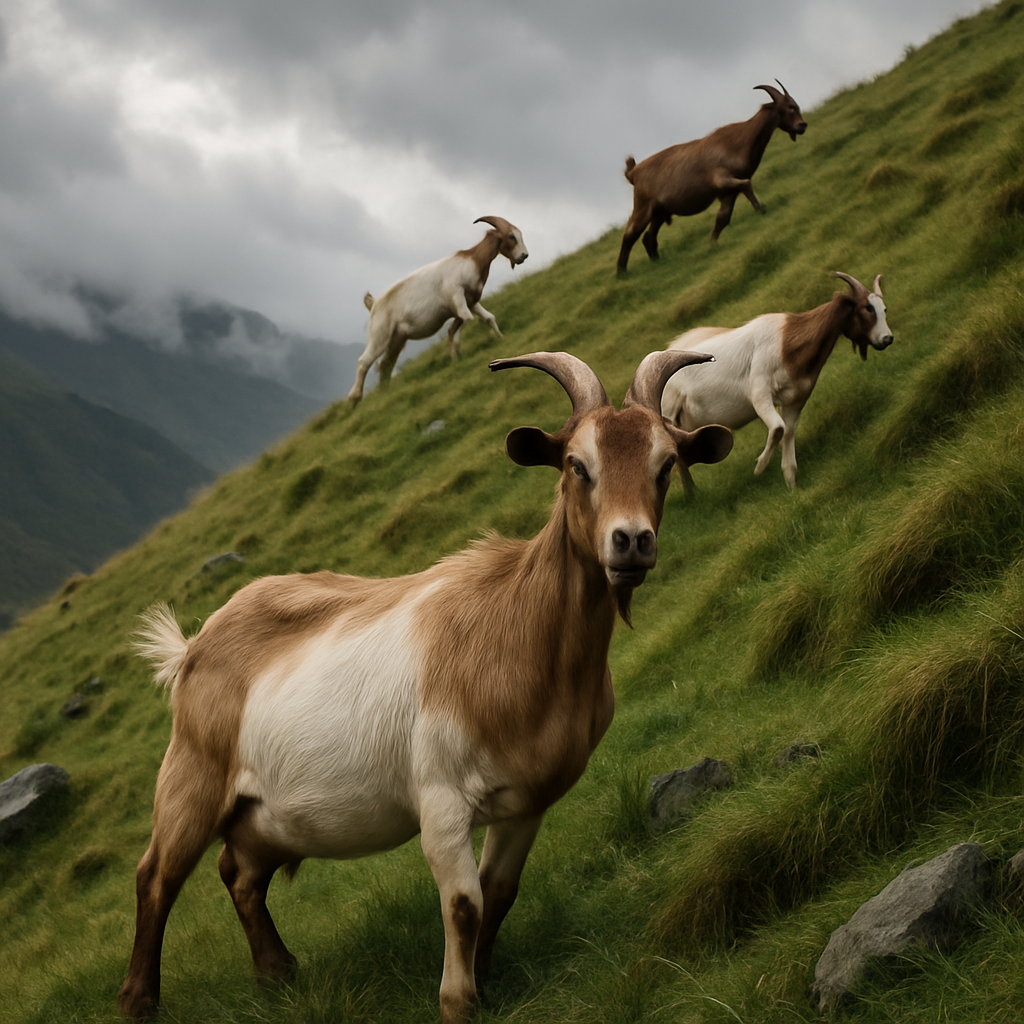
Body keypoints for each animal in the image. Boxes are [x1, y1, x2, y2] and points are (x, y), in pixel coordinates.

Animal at [119, 351, 733, 1024]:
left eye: (665, 464)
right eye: (577, 465)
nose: (631, 541)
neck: (519, 636)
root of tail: (193, 646)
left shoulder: (528, 802)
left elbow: (498, 893)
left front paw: (485, 984)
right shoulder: (440, 796)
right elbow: (464, 902)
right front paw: (457, 1001)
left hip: (261, 815)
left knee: (239, 873)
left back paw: (277, 972)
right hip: (192, 777)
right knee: (156, 876)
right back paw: (139, 999)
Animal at [347, 216, 528, 405]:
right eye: (511, 237)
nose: (524, 255)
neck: (472, 259)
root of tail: (374, 305)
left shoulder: (471, 301)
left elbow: (488, 318)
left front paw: (500, 339)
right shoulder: (457, 293)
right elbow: (465, 319)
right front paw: (454, 354)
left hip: (397, 339)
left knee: (386, 364)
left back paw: (385, 392)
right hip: (380, 334)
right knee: (365, 361)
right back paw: (354, 399)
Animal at [617, 81, 807, 274]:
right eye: (790, 107)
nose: (802, 125)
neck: (737, 141)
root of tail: (633, 172)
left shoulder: (728, 192)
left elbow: (723, 217)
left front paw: (712, 245)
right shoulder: (722, 179)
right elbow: (746, 184)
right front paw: (761, 208)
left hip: (660, 211)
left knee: (648, 237)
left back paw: (656, 261)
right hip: (643, 206)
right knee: (630, 233)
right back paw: (621, 272)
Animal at [660, 272, 893, 492]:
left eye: (884, 309)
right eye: (867, 308)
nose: (887, 339)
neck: (786, 342)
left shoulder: (795, 401)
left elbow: (788, 431)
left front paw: (791, 483)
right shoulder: (760, 392)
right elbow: (778, 428)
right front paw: (760, 466)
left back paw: (693, 493)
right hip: (669, 412)